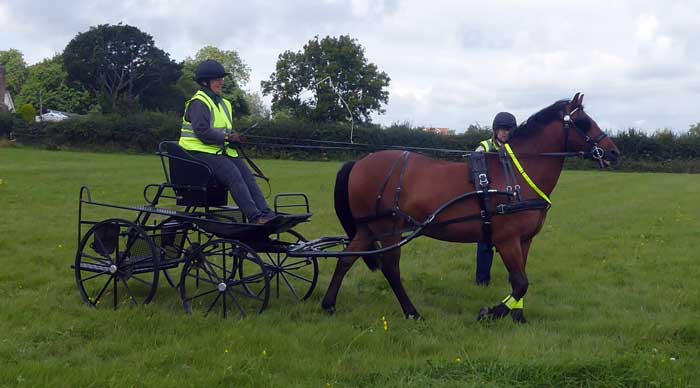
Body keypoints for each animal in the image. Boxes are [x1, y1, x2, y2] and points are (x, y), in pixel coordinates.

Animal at [322, 93, 616, 322]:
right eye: (584, 122)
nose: (614, 152)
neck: (515, 176)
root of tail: (359, 162)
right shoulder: (507, 240)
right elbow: (520, 283)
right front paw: (492, 312)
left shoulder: (524, 240)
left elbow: (520, 281)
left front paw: (518, 317)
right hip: (388, 230)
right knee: (391, 268)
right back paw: (411, 312)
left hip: (368, 229)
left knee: (346, 258)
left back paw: (329, 304)